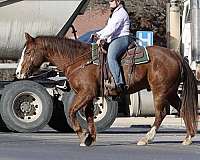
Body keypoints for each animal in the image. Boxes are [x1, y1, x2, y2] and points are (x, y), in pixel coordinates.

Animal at [16, 33, 198, 147]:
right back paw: (188, 137)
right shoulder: (89, 96)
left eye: (29, 52)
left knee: (161, 114)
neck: (78, 61)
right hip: (171, 91)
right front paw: (90, 138)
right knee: (183, 108)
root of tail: (175, 55)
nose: (18, 73)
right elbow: (89, 116)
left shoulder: (85, 94)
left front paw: (82, 135)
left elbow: (72, 112)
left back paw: (146, 139)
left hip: (160, 91)